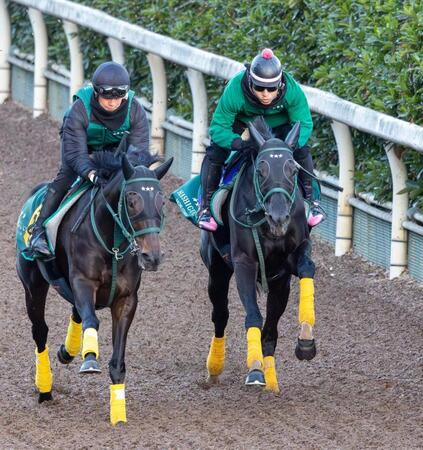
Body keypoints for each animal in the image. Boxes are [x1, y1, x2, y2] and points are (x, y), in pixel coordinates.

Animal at [16, 149, 172, 426]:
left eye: (161, 202)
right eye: (131, 201)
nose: (152, 257)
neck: (113, 245)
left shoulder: (126, 299)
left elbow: (117, 361)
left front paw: (118, 413)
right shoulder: (83, 283)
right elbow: (92, 321)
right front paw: (89, 358)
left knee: (75, 313)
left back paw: (67, 351)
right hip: (33, 286)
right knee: (40, 332)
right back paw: (45, 388)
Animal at [202, 118, 318, 392]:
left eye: (293, 170)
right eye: (260, 171)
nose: (279, 217)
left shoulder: (290, 262)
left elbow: (307, 268)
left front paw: (306, 340)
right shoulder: (244, 262)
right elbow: (252, 315)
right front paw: (255, 369)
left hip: (279, 285)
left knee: (271, 329)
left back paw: (272, 380)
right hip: (217, 271)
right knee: (220, 315)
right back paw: (214, 367)